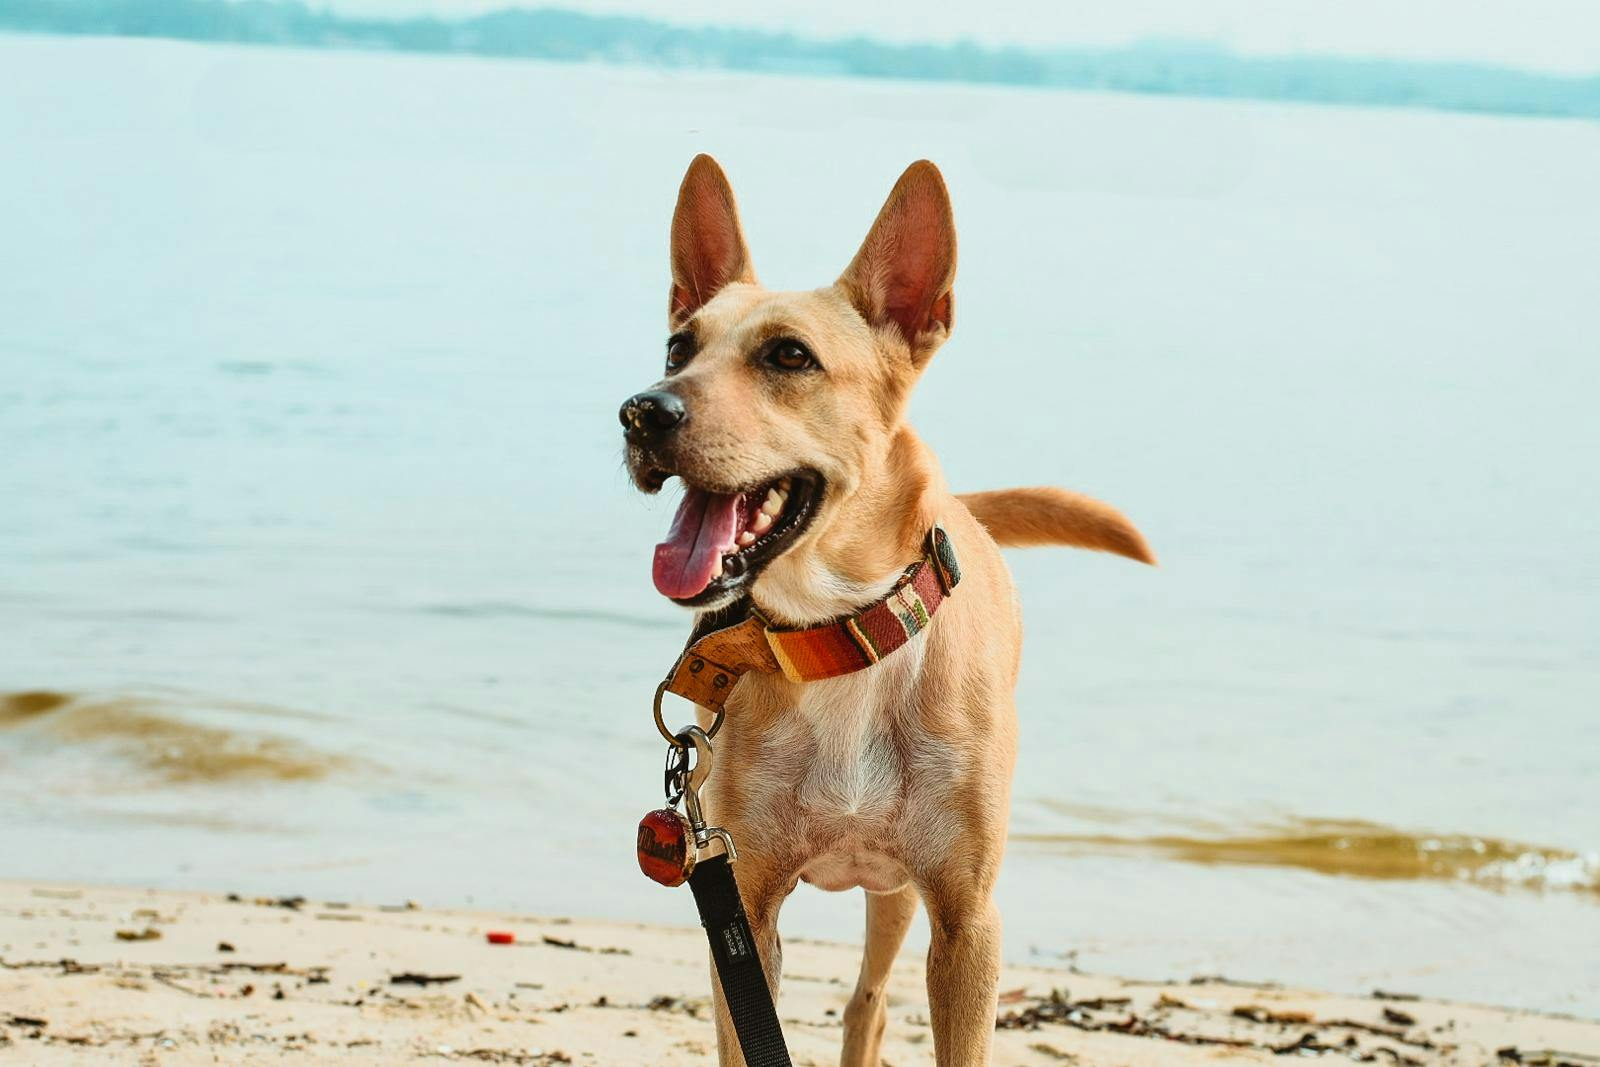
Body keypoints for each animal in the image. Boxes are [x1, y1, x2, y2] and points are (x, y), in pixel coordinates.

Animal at [617, 154, 1158, 1062]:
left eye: (789, 355)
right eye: (676, 346)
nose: (642, 410)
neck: (841, 638)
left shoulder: (967, 919)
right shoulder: (743, 908)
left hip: (903, 892)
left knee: (866, 1004)